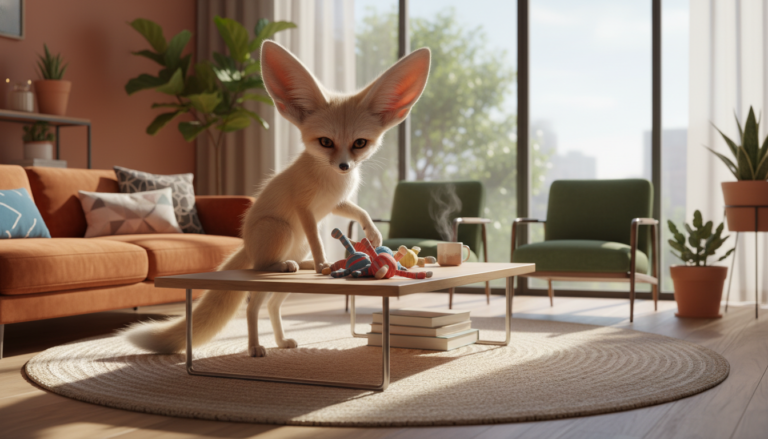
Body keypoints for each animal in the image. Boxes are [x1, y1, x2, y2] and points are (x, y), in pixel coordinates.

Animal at [122, 41, 431, 357]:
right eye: (326, 142)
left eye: (359, 143)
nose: (344, 166)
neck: (332, 180)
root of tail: (246, 244)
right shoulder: (305, 208)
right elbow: (318, 240)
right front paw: (324, 263)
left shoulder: (335, 203)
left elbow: (360, 211)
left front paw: (372, 233)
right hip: (280, 229)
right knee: (255, 291)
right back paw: (257, 341)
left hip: (293, 254)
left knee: (270, 303)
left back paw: (285, 327)